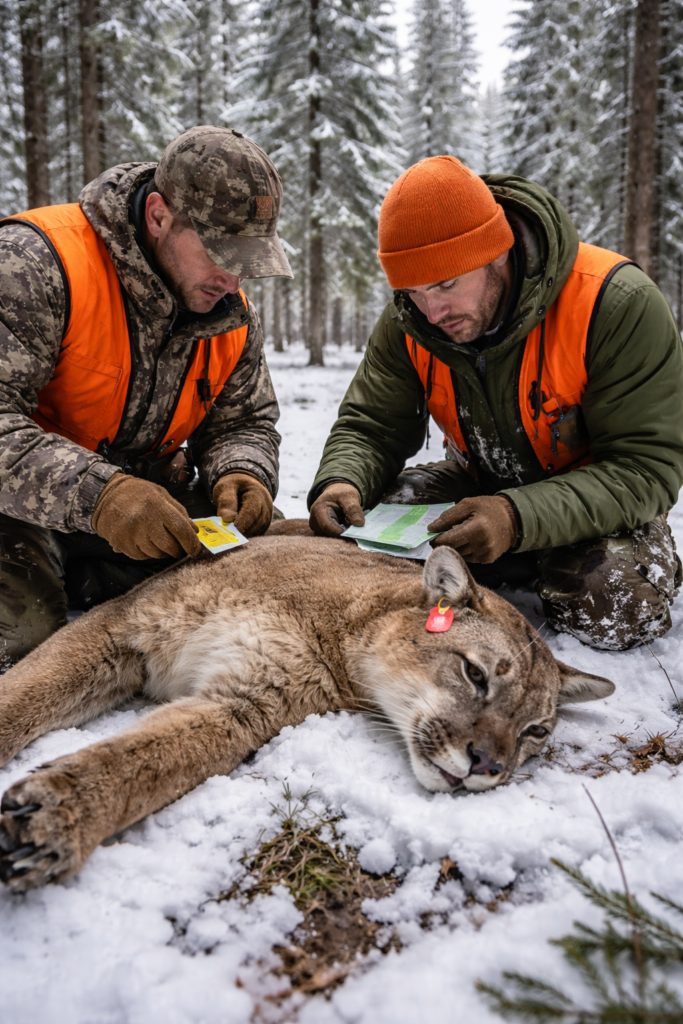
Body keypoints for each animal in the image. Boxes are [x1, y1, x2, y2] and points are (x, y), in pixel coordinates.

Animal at [0, 536, 614, 891]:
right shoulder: (123, 625)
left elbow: (147, 762)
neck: (340, 624)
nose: (488, 765)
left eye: (536, 731)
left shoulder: (244, 704)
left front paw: (60, 818)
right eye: (476, 674)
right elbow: (26, 693)